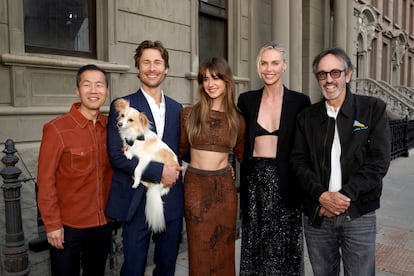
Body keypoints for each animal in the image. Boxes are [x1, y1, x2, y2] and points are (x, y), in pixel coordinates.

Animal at [114, 98, 179, 232]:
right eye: (122, 116)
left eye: (130, 120)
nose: (119, 124)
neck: (133, 136)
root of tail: (158, 188)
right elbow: (129, 152)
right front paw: (128, 153)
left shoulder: (145, 159)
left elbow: (137, 169)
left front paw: (135, 183)